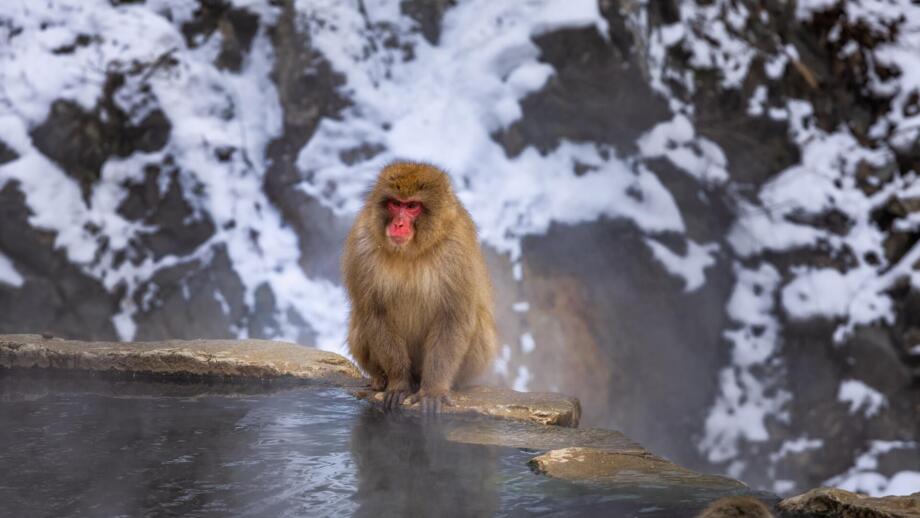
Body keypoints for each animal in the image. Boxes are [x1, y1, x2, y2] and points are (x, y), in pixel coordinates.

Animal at [342, 161, 498, 415]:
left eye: (412, 206)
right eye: (396, 204)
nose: (398, 224)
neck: (410, 252)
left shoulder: (457, 251)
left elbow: (452, 317)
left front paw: (433, 390)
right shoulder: (362, 246)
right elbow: (375, 313)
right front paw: (398, 383)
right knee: (360, 321)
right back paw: (381, 379)